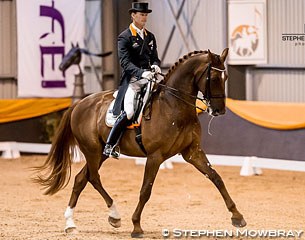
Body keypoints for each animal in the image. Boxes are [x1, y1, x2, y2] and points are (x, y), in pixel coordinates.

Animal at [34, 47, 246, 237]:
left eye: (226, 77)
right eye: (214, 78)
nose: (219, 110)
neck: (174, 106)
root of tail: (80, 103)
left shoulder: (192, 151)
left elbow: (216, 177)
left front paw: (237, 217)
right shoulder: (155, 156)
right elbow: (146, 190)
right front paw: (136, 226)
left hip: (100, 153)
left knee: (81, 179)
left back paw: (71, 224)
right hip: (92, 151)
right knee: (93, 178)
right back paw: (114, 216)